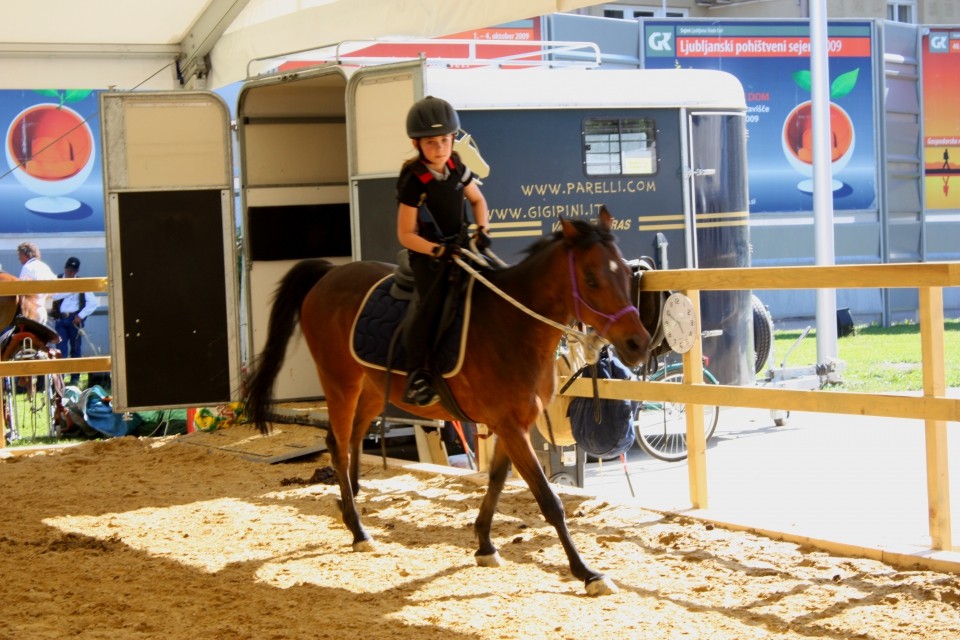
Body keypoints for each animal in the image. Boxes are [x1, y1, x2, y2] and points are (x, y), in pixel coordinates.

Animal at [246, 210, 652, 596]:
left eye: (625, 274)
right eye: (591, 278)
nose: (638, 343)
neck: (513, 324)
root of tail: (331, 274)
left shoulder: (512, 423)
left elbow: (497, 480)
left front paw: (485, 543)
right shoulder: (510, 425)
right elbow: (548, 500)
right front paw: (587, 573)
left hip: (373, 388)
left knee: (354, 438)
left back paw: (350, 509)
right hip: (340, 382)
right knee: (338, 444)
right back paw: (359, 531)